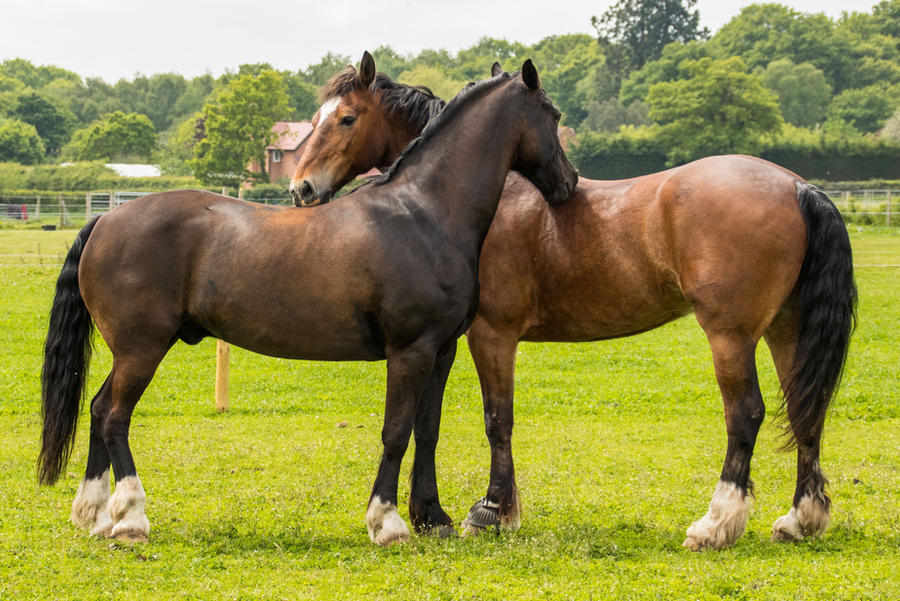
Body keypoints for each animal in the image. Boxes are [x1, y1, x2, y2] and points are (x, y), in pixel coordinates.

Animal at [38, 59, 576, 544]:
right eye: (553, 115)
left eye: (346, 118)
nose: (569, 181)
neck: (422, 212)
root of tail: (106, 220)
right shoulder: (410, 351)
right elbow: (396, 431)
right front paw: (388, 523)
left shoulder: (440, 350)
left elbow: (427, 430)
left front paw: (435, 519)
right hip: (141, 349)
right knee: (113, 414)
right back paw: (130, 517)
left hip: (132, 351)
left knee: (97, 409)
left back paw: (95, 515)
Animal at [290, 54, 856, 552]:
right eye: (315, 119)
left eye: (346, 118)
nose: (301, 189)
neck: (474, 194)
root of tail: (798, 186)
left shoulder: (491, 334)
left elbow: (497, 418)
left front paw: (491, 511)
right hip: (785, 330)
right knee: (805, 410)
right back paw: (800, 519)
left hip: (730, 336)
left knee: (746, 414)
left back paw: (715, 524)